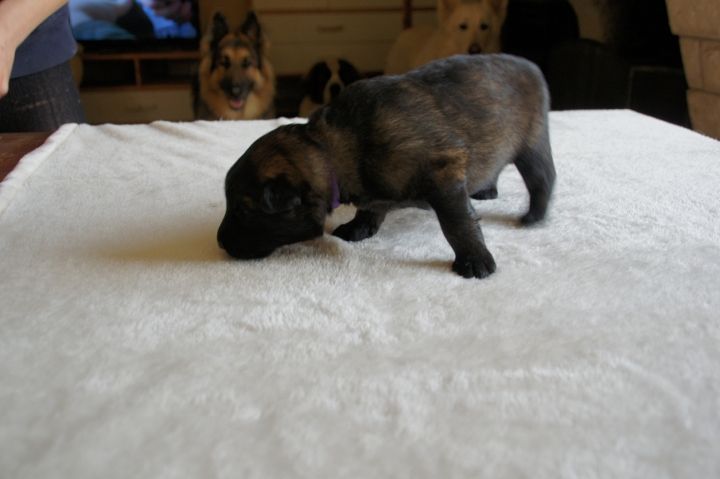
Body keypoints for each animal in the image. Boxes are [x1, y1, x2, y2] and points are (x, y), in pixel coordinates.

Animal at [218, 54, 555, 279]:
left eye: (243, 210)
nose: (219, 242)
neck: (332, 147)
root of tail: (531, 64)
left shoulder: (443, 174)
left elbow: (457, 223)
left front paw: (475, 260)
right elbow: (371, 207)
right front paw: (358, 226)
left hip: (532, 142)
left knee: (543, 178)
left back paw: (533, 216)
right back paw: (486, 189)